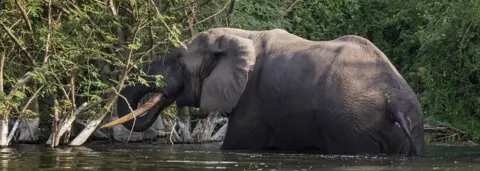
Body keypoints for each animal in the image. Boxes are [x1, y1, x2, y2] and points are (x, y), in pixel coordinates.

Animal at [103, 27, 426, 157]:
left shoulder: (251, 100)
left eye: (176, 62)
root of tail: (395, 101)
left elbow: (236, 145)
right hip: (408, 125)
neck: (237, 35)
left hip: (351, 123)